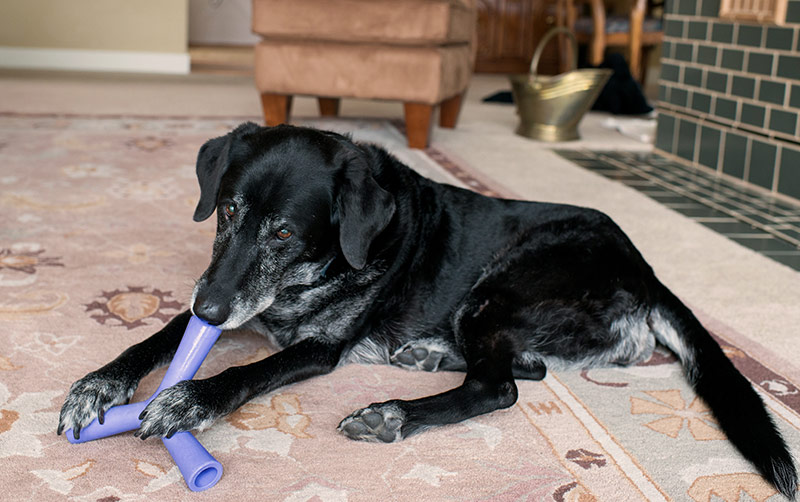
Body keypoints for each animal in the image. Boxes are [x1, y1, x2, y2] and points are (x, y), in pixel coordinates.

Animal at [59, 122, 796, 498]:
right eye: (229, 212)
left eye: (285, 232)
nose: (211, 310)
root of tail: (646, 270)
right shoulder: (222, 299)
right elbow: (158, 334)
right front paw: (100, 384)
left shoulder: (315, 347)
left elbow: (245, 373)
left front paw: (189, 399)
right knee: (527, 368)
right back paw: (426, 355)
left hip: (497, 290)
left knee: (499, 386)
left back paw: (393, 413)